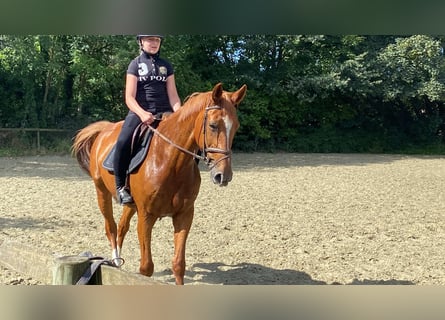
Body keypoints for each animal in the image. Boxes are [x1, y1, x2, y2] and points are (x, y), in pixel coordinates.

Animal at [72, 83, 246, 284]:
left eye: (236, 127)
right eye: (213, 125)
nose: (223, 176)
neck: (170, 161)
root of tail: (105, 130)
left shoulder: (184, 215)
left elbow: (178, 264)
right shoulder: (146, 216)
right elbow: (146, 268)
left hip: (131, 204)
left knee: (122, 227)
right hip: (102, 193)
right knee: (111, 228)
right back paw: (114, 261)